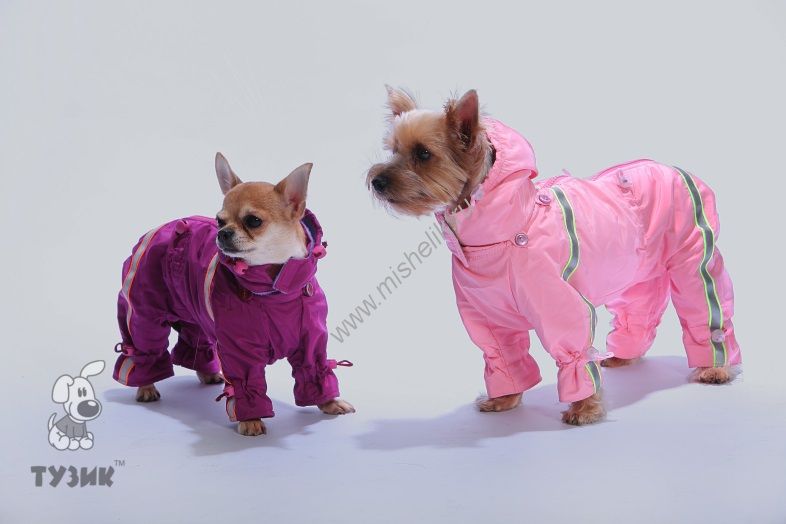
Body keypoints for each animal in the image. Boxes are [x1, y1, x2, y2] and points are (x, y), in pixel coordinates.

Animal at [113, 154, 354, 436]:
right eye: (219, 220)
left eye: (253, 221)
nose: (222, 233)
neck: (274, 290)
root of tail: (160, 228)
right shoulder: (239, 349)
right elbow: (246, 382)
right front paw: (251, 419)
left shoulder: (311, 341)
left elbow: (314, 368)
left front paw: (329, 402)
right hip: (144, 312)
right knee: (144, 346)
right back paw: (146, 386)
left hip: (195, 314)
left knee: (196, 340)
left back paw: (208, 374)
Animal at [367, 87, 741, 425]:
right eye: (393, 150)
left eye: (423, 154)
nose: (377, 181)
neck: (499, 233)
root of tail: (675, 168)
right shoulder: (487, 315)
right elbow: (503, 356)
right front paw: (503, 399)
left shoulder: (561, 306)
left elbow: (575, 352)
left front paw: (584, 409)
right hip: (635, 269)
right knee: (639, 308)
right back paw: (624, 355)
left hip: (691, 254)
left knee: (707, 307)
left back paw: (715, 368)